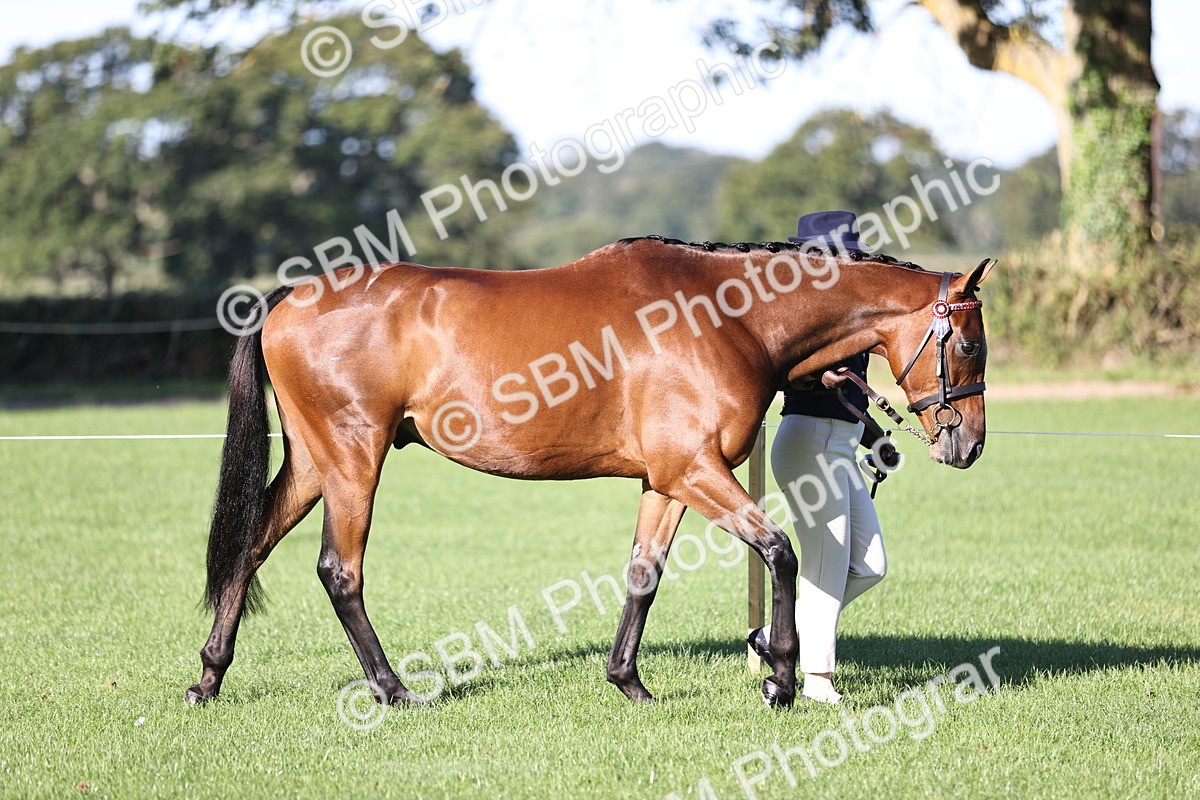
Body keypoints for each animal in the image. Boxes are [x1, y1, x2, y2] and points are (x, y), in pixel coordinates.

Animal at [185, 236, 992, 710]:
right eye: (972, 347)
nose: (969, 445)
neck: (726, 316)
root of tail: (288, 298)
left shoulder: (666, 480)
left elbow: (643, 574)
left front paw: (628, 682)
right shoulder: (696, 470)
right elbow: (780, 551)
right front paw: (780, 678)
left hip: (316, 462)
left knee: (250, 545)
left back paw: (209, 677)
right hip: (355, 457)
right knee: (339, 571)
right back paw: (392, 689)